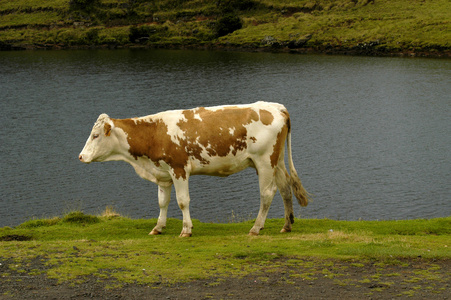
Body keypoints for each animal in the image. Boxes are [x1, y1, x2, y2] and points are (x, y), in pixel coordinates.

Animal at [78, 101, 310, 237]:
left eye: (95, 135)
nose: (81, 156)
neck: (154, 133)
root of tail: (277, 107)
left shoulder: (179, 168)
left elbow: (182, 201)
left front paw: (186, 230)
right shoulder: (163, 173)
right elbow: (162, 202)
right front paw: (158, 227)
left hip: (264, 161)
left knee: (267, 193)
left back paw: (256, 228)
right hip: (277, 161)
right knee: (285, 188)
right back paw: (287, 225)